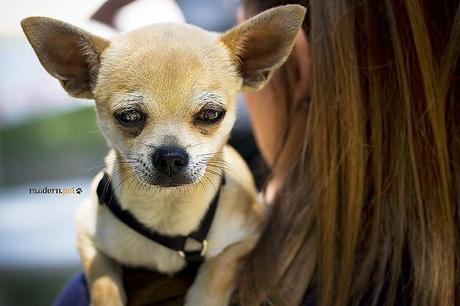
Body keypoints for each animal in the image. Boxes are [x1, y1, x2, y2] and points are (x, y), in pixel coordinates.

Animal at [21, 5, 306, 306]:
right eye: (129, 116)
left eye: (211, 114)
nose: (170, 156)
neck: (167, 209)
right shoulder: (87, 234)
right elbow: (102, 282)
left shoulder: (250, 234)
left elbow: (218, 270)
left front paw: (202, 298)